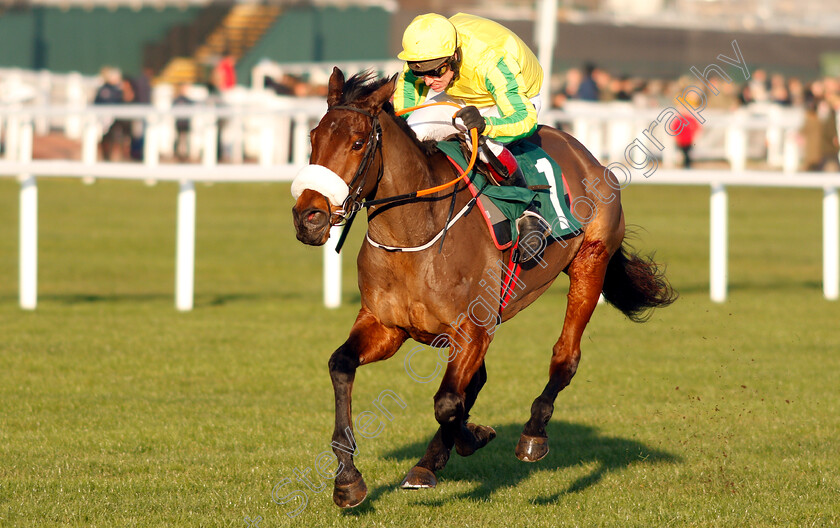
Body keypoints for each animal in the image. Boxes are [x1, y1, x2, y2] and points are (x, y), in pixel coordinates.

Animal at [292, 67, 680, 508]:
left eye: (358, 143)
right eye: (313, 138)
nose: (308, 217)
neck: (414, 236)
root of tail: (585, 153)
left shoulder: (472, 330)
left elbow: (448, 403)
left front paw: (472, 436)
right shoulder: (387, 326)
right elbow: (342, 365)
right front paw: (348, 480)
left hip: (589, 263)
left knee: (565, 356)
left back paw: (532, 434)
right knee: (475, 381)